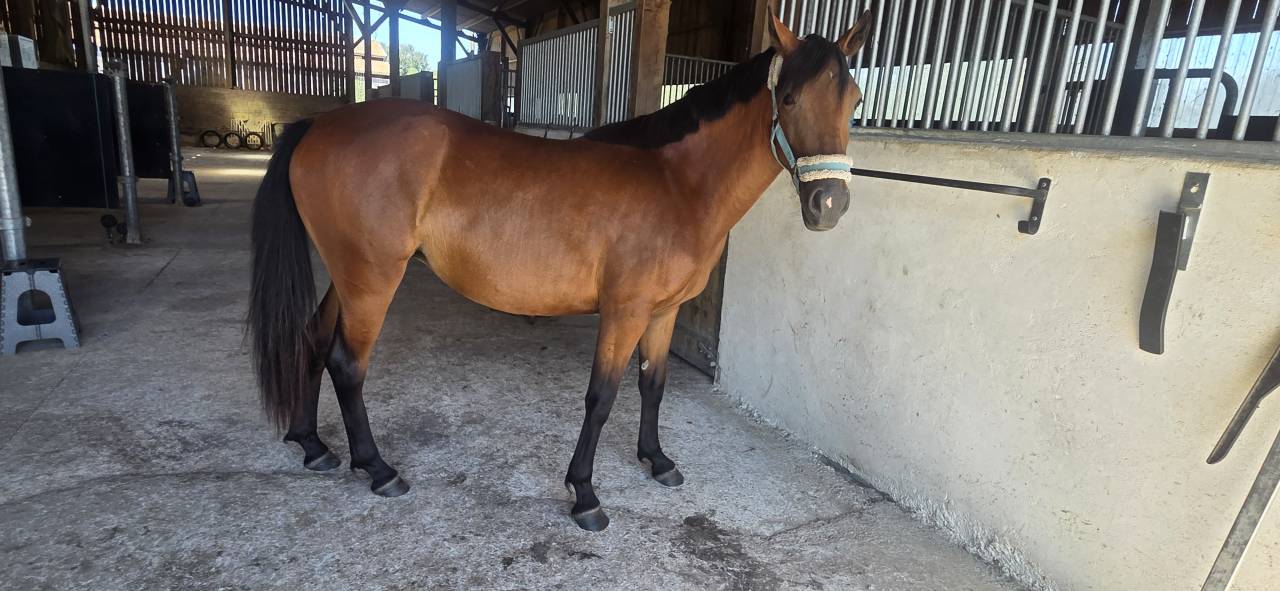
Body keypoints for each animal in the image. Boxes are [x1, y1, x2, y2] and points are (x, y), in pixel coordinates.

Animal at [248, 10, 872, 531]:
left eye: (854, 100)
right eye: (788, 98)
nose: (830, 205)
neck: (677, 182)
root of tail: (319, 125)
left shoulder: (663, 312)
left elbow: (653, 385)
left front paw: (656, 460)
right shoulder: (624, 312)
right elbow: (602, 398)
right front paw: (585, 496)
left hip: (347, 275)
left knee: (313, 338)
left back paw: (313, 446)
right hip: (373, 278)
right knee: (347, 364)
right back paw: (378, 469)